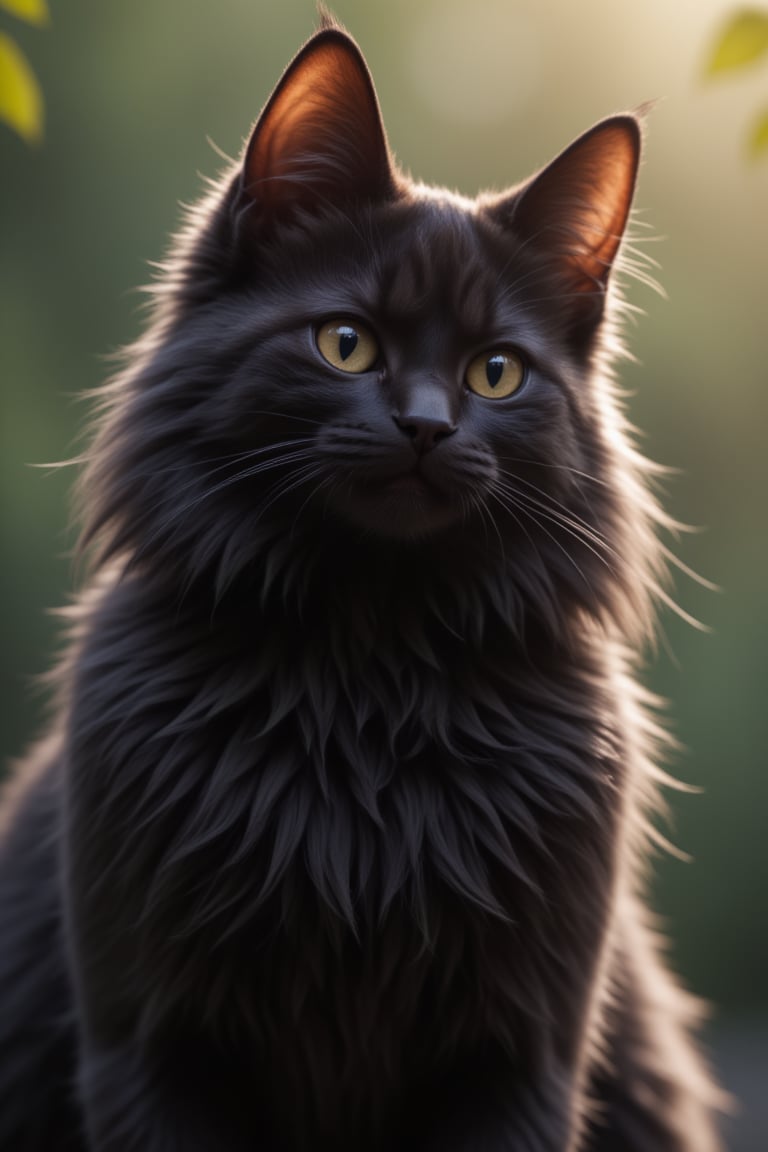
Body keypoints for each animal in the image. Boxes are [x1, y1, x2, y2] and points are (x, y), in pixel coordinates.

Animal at [0, 15, 723, 1152]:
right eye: (347, 344)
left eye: (495, 373)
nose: (426, 427)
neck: (367, 674)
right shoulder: (151, 1046)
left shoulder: (517, 1057)